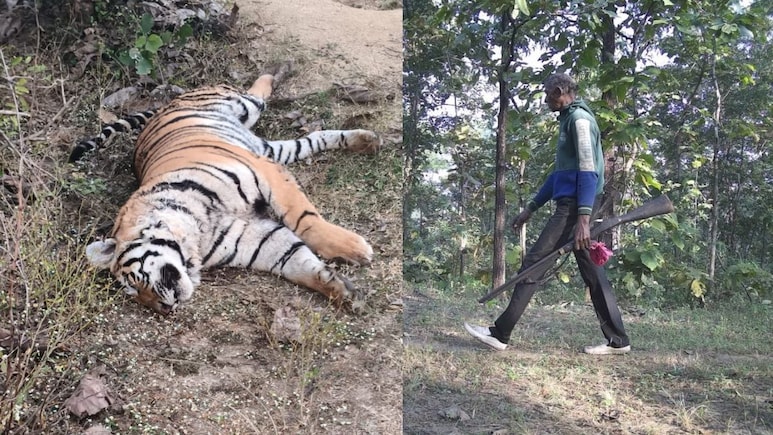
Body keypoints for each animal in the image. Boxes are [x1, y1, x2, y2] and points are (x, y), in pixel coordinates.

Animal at [71, 73, 381, 315]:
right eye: (134, 296)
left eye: (136, 282)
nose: (164, 309)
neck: (198, 236)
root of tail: (166, 104)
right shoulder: (261, 240)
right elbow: (299, 263)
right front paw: (343, 291)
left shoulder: (265, 172)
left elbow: (305, 219)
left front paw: (355, 248)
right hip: (272, 150)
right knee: (310, 140)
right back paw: (365, 140)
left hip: (244, 109)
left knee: (255, 94)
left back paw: (274, 73)